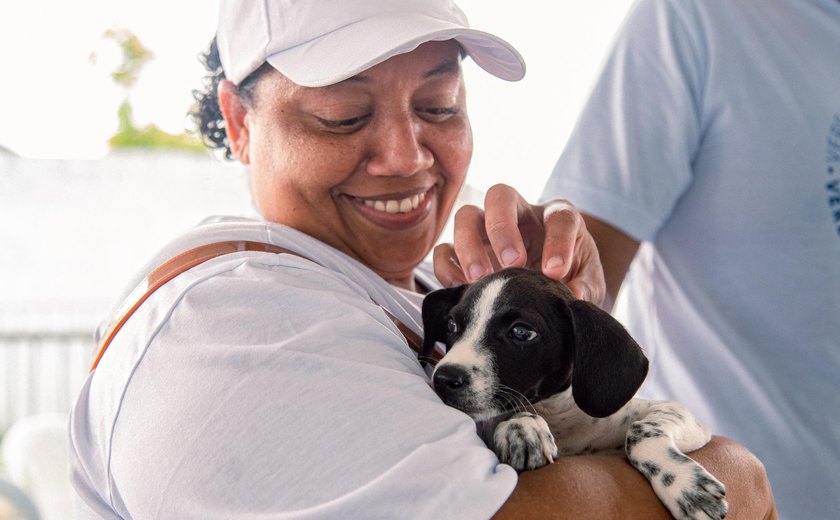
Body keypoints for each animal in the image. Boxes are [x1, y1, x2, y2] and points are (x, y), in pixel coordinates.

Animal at [420, 268, 728, 520]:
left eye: (521, 332)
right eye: (452, 325)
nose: (443, 379)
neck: (558, 419)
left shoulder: (680, 413)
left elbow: (641, 431)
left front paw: (686, 486)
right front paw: (522, 427)